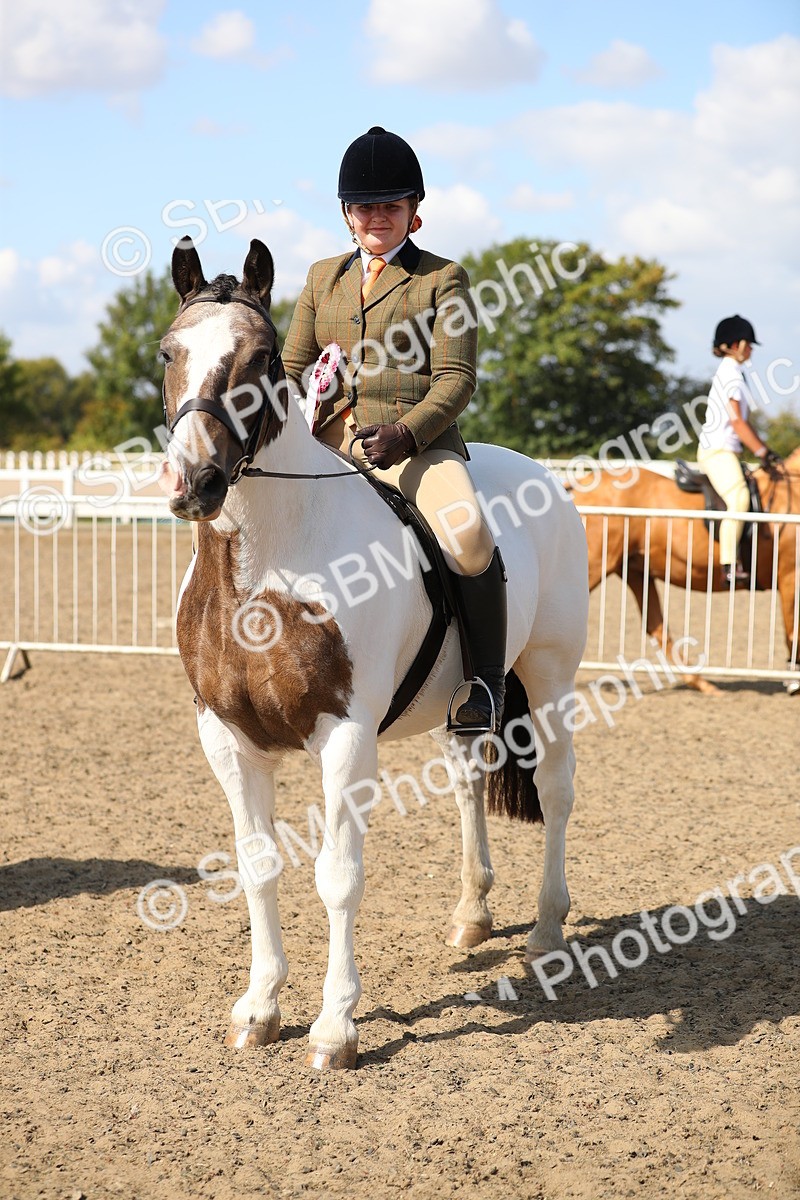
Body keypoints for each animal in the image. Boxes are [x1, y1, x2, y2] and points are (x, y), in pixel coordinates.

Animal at [157, 237, 589, 1070]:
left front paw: (335, 1028)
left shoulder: (345, 736)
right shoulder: (226, 738)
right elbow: (258, 866)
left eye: (260, 358)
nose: (194, 482)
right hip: (466, 703)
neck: (267, 562)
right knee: (468, 784)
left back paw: (548, 932)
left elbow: (338, 876)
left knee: (555, 790)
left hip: (551, 676)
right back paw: (471, 917)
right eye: (169, 351)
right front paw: (259, 1009)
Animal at [575, 453, 800, 694]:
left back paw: (701, 683)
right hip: (597, 564)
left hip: (635, 571)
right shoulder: (790, 576)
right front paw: (793, 681)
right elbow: (792, 630)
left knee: (657, 627)